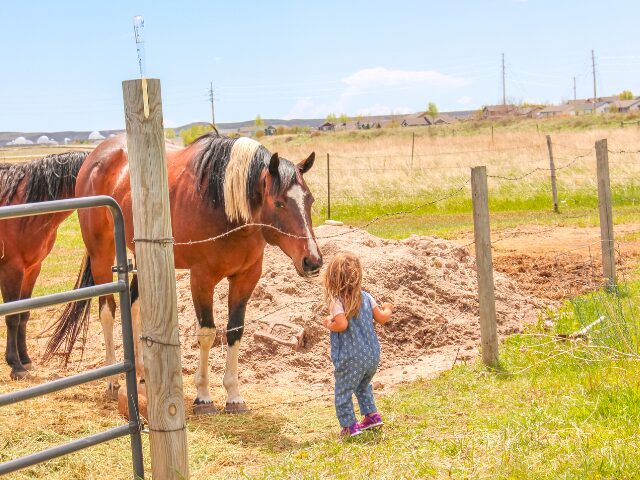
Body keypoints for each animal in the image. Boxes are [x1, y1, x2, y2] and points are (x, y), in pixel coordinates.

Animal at [0, 150, 86, 378]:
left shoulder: (32, 269)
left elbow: (24, 314)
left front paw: (25, 359)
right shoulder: (11, 270)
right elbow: (12, 316)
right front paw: (16, 366)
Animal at [45, 134, 322, 412]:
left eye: (310, 200)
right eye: (279, 203)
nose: (313, 261)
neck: (223, 207)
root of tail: (95, 155)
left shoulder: (246, 278)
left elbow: (235, 331)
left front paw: (233, 395)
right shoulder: (201, 279)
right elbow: (207, 333)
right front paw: (204, 396)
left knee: (134, 307)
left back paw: (142, 373)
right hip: (101, 254)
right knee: (107, 311)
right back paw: (113, 380)